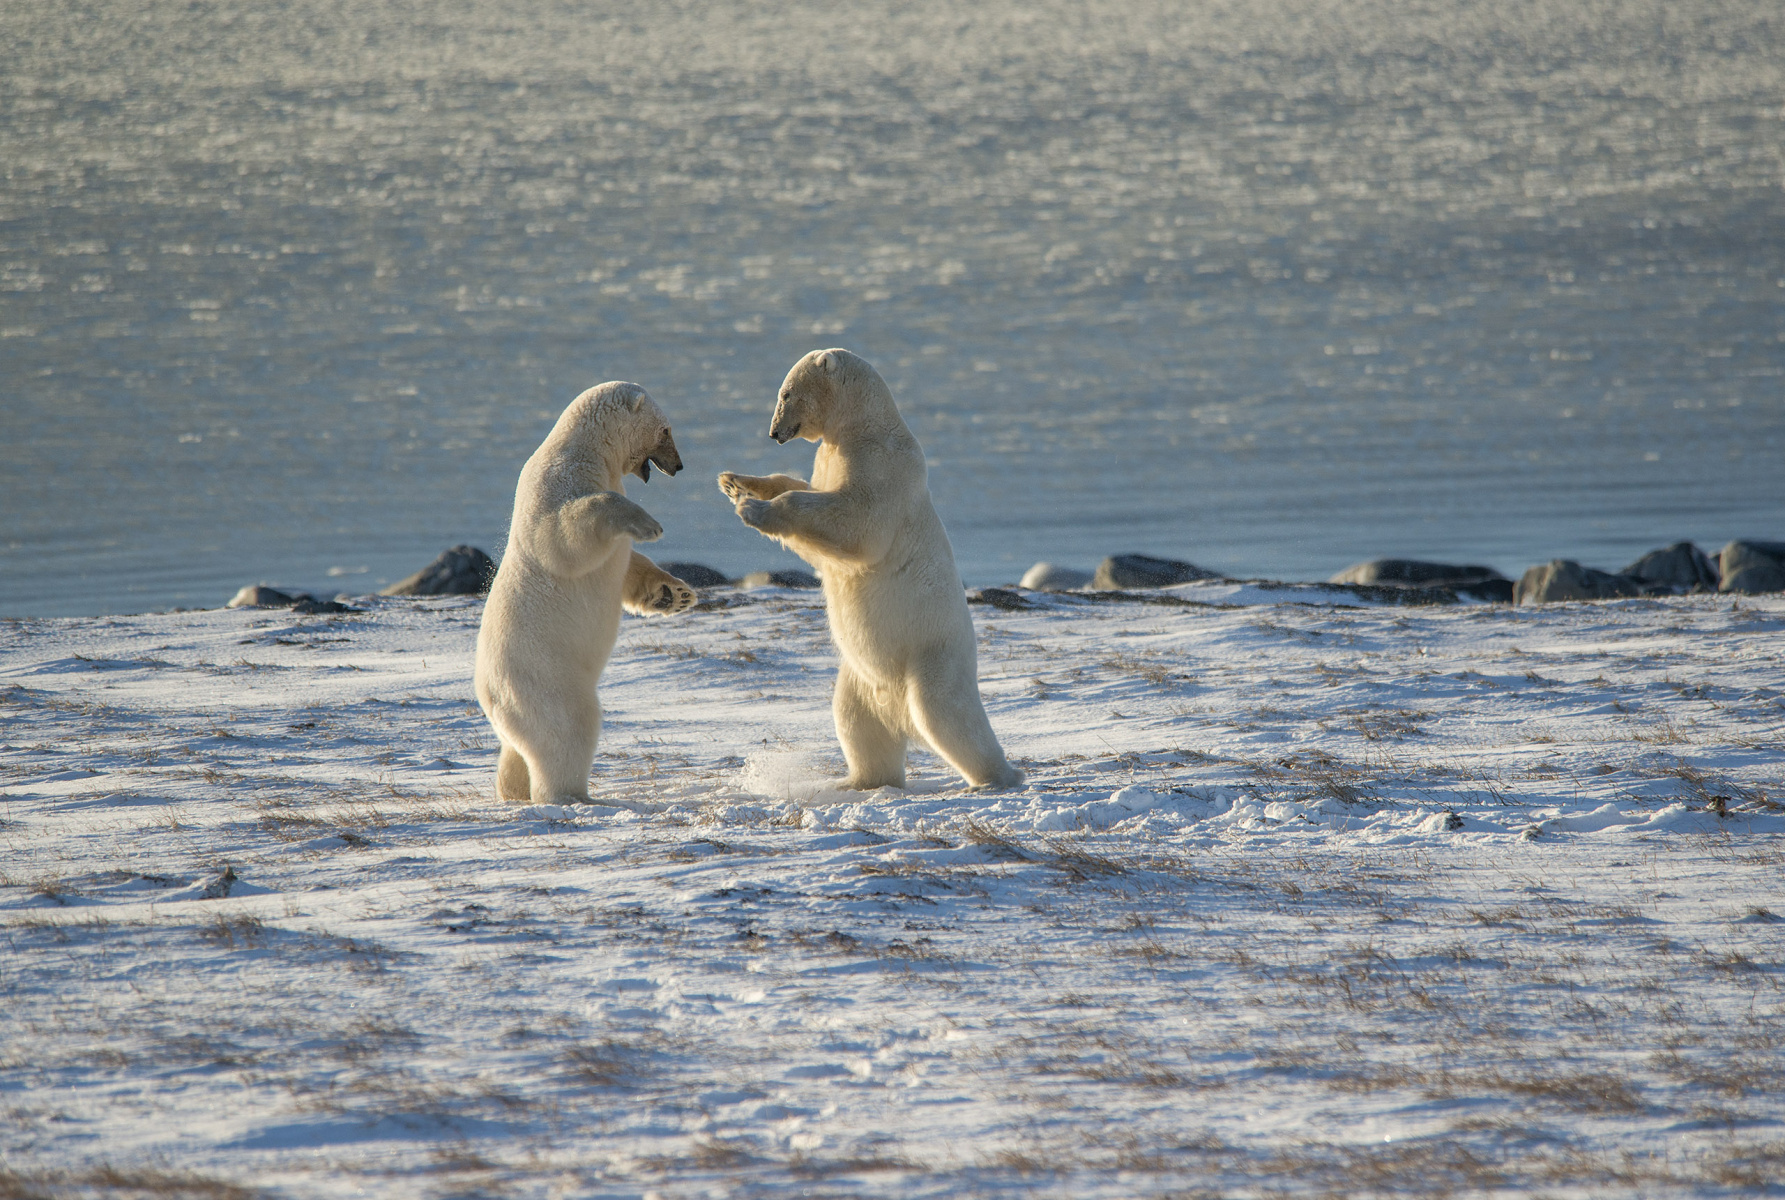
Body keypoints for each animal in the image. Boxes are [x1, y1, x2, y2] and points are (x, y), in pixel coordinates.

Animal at [474, 380, 696, 800]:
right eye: (666, 430)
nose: (678, 466)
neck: (587, 450)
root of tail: (489, 697)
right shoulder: (556, 483)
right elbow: (564, 536)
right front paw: (650, 524)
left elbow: (626, 565)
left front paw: (675, 594)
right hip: (544, 679)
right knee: (568, 730)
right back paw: (573, 795)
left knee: (516, 753)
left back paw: (513, 792)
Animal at [710, 346, 1021, 792]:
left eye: (785, 394)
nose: (773, 433)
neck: (862, 424)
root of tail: (899, 711)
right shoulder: (832, 456)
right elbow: (810, 500)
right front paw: (736, 482)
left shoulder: (880, 463)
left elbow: (857, 522)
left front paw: (753, 508)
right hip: (860, 678)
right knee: (855, 720)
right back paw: (856, 781)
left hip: (932, 653)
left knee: (946, 713)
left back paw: (997, 777)